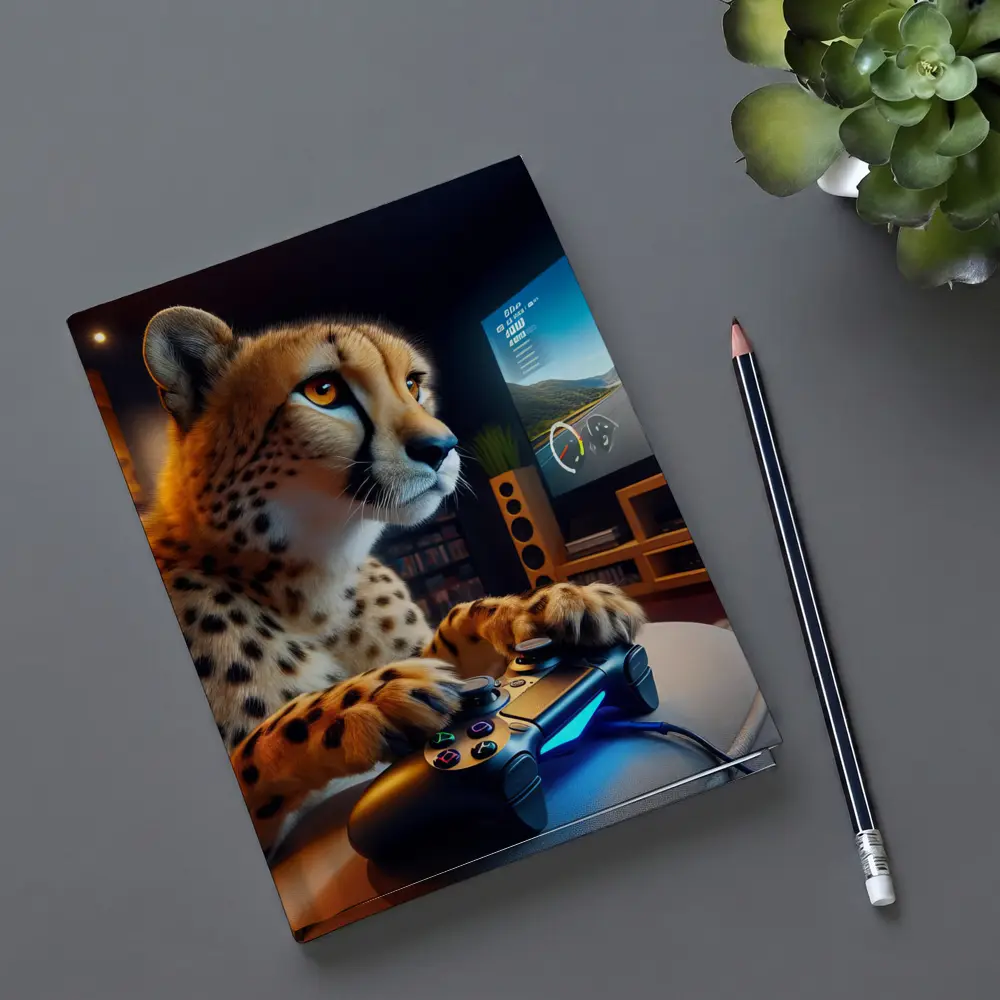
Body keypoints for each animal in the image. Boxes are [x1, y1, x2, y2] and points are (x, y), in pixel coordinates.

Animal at [141, 306, 645, 855]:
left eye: (412, 383)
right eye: (323, 390)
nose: (442, 446)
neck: (313, 583)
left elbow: (457, 621)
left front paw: (553, 604)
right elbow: (264, 739)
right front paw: (371, 699)